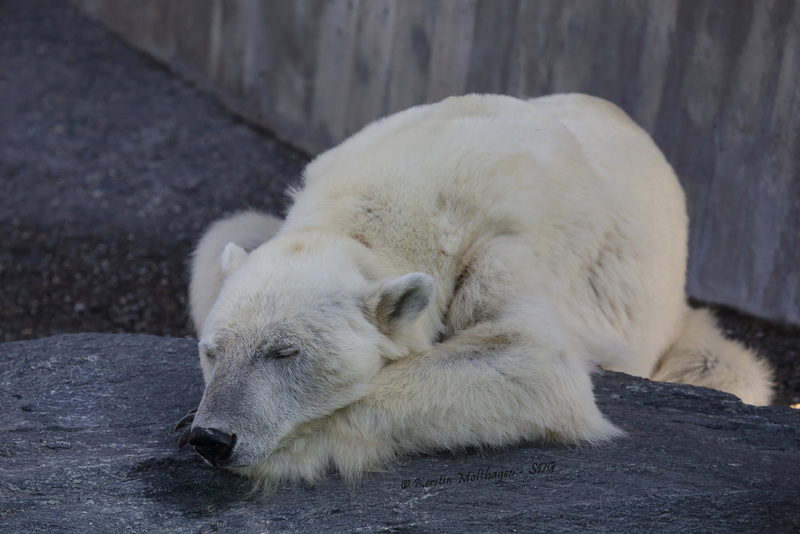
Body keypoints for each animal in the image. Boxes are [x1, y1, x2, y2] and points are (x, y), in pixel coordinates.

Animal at [177, 94, 776, 492]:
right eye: (211, 352)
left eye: (283, 352)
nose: (213, 437)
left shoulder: (498, 244)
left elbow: (529, 360)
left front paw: (290, 448)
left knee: (725, 367)